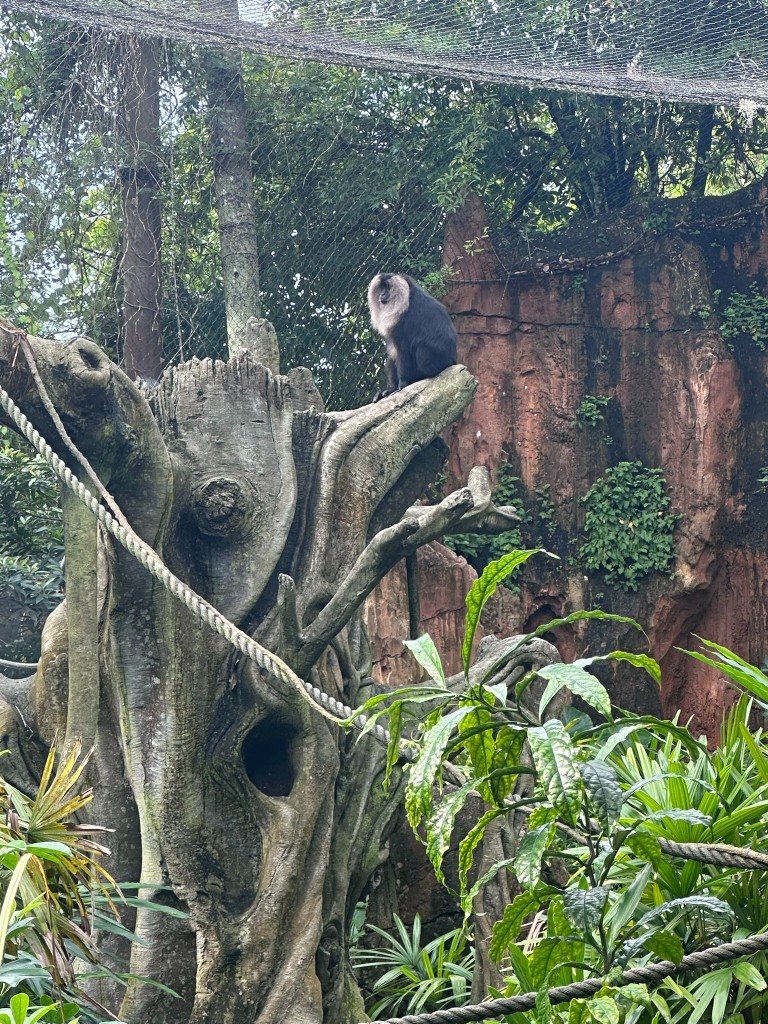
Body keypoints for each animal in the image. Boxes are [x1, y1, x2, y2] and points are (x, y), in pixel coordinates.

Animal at [367, 273, 457, 402]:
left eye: (388, 288)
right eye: (382, 288)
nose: (382, 294)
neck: (407, 298)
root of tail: (453, 362)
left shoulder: (408, 319)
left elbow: (404, 351)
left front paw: (403, 385)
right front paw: (393, 388)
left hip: (442, 362)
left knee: (422, 349)